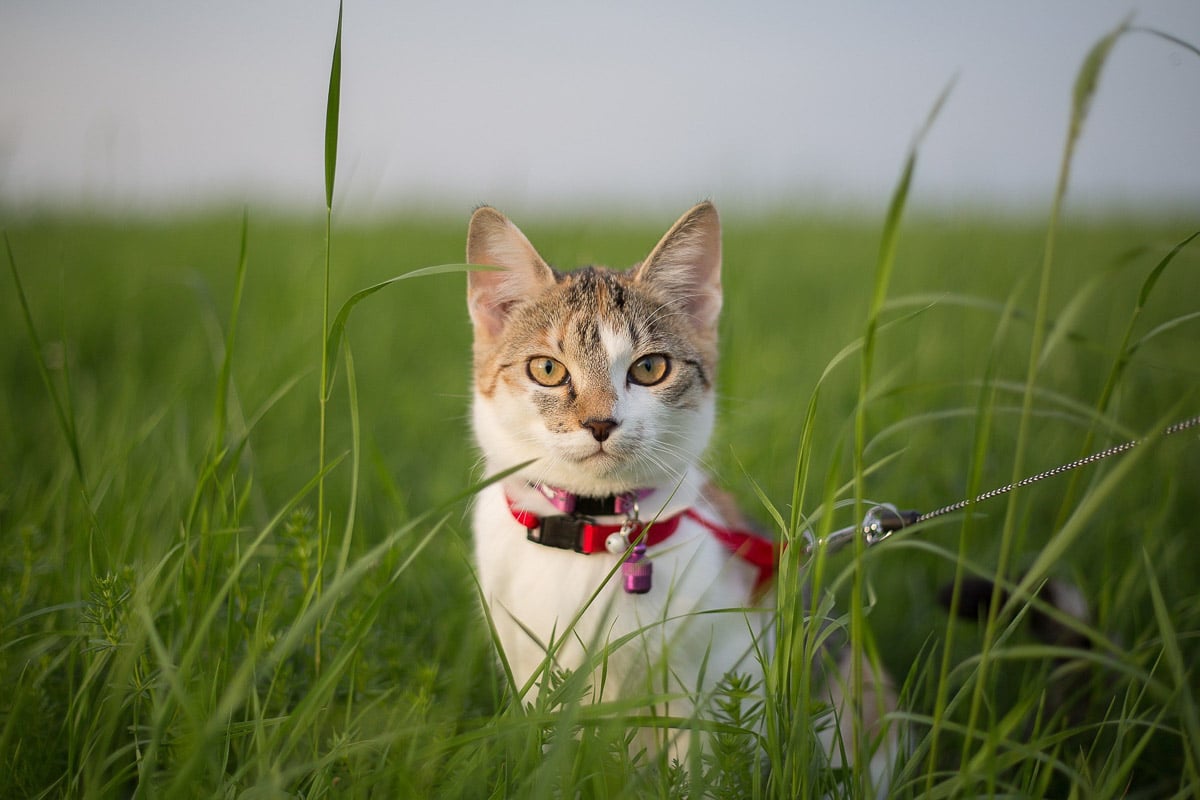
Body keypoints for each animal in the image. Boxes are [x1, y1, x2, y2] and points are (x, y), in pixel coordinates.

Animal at [463, 200, 897, 782]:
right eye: (548, 369)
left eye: (649, 368)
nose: (600, 422)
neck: (595, 533)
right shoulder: (530, 668)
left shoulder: (719, 671)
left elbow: (704, 765)